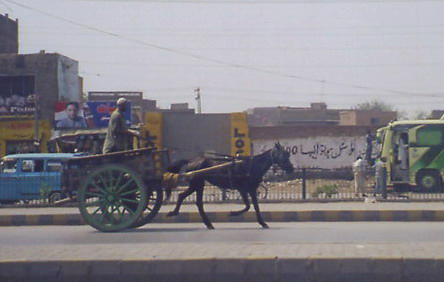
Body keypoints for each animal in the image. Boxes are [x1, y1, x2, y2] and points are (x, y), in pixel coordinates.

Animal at [165, 143, 294, 229]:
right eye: (283, 154)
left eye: (288, 153)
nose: (291, 168)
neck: (253, 166)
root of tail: (191, 161)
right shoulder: (244, 189)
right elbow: (249, 206)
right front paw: (233, 213)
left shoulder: (251, 189)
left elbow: (254, 206)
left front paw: (262, 222)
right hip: (197, 183)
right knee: (195, 201)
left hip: (196, 184)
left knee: (184, 197)